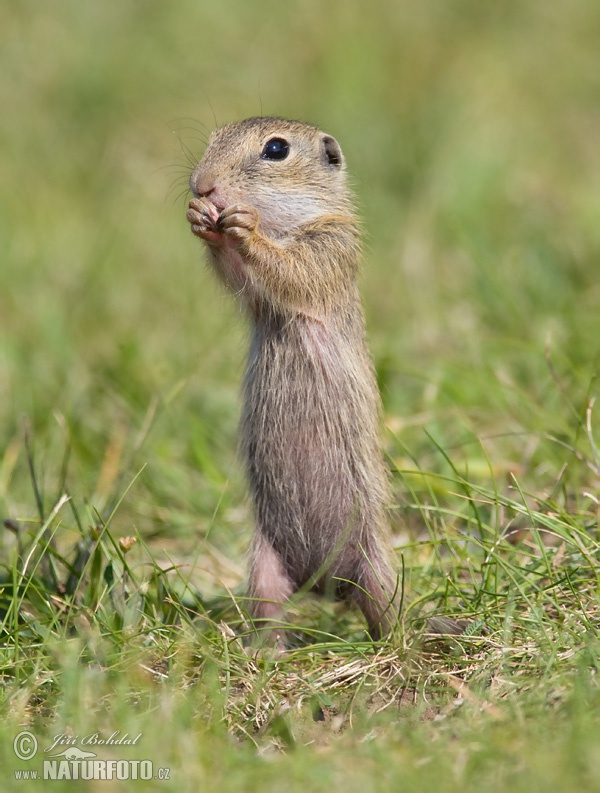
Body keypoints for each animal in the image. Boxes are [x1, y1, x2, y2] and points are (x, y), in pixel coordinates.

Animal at [183, 114, 398, 644]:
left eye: (276, 149)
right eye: (212, 139)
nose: (201, 185)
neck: (287, 223)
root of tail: (328, 588)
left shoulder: (332, 242)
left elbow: (291, 268)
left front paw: (245, 230)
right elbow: (241, 280)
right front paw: (201, 220)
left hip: (376, 563)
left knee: (386, 612)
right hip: (264, 563)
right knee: (271, 611)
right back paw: (267, 651)